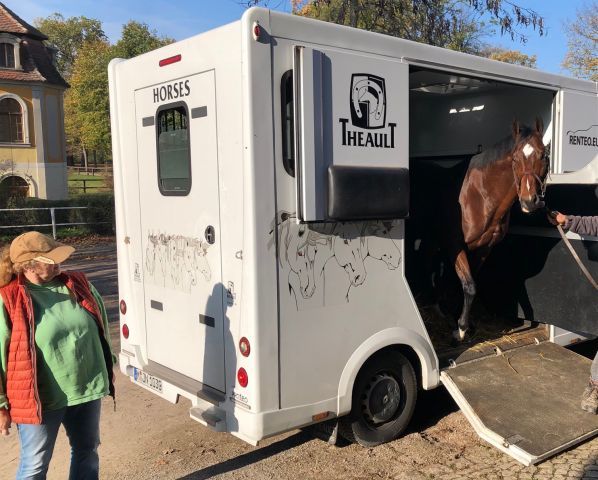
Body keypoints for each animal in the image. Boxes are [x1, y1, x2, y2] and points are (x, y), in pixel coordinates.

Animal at [452, 119, 552, 342]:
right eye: (514, 158)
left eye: (543, 155)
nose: (529, 201)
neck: (477, 195)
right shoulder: (454, 246)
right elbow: (469, 286)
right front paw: (460, 330)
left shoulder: (483, 247)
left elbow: (471, 282)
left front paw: (465, 324)